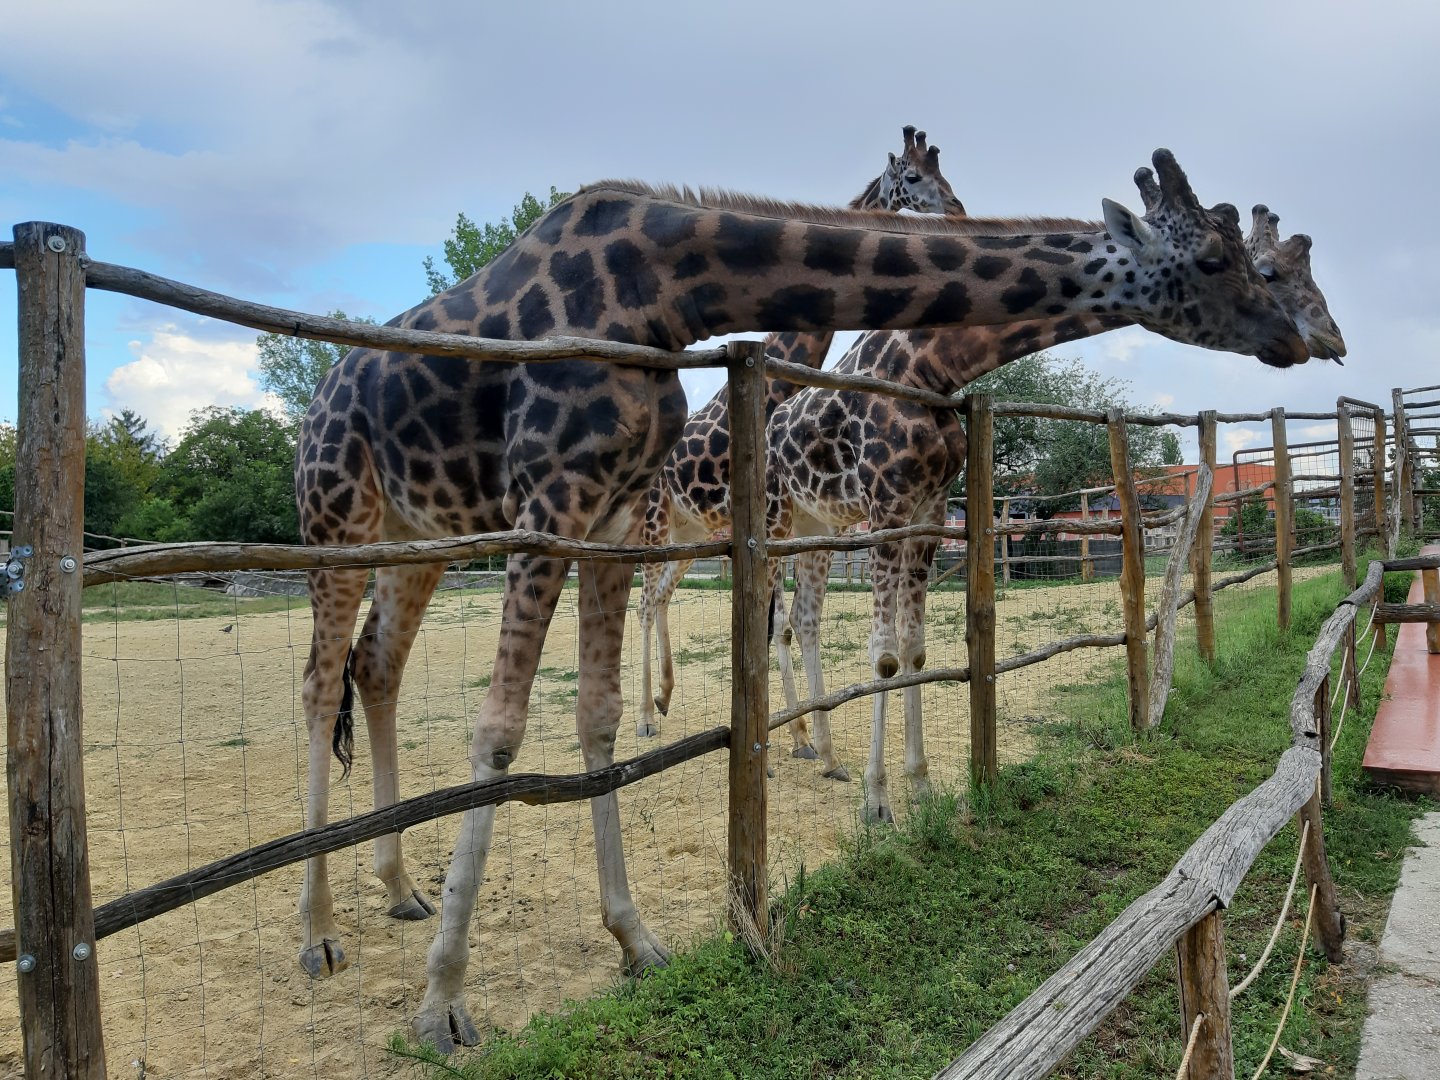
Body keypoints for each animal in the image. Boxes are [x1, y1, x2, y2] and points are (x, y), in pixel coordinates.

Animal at [636, 126, 967, 748]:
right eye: (913, 177)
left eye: (946, 172)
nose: (957, 210)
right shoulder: (772, 524)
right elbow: (772, 625)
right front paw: (795, 737)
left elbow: (782, 626)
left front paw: (802, 737)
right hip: (654, 524)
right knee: (641, 600)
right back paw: (643, 716)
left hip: (691, 532)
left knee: (661, 593)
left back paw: (665, 698)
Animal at [766, 180, 1344, 822]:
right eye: (1260, 269)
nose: (1328, 339)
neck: (928, 367)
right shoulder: (887, 504)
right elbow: (883, 655)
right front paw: (877, 803)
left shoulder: (929, 510)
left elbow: (914, 650)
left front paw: (920, 788)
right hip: (776, 520)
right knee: (771, 620)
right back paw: (787, 749)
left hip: (817, 524)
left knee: (801, 621)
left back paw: (821, 753)